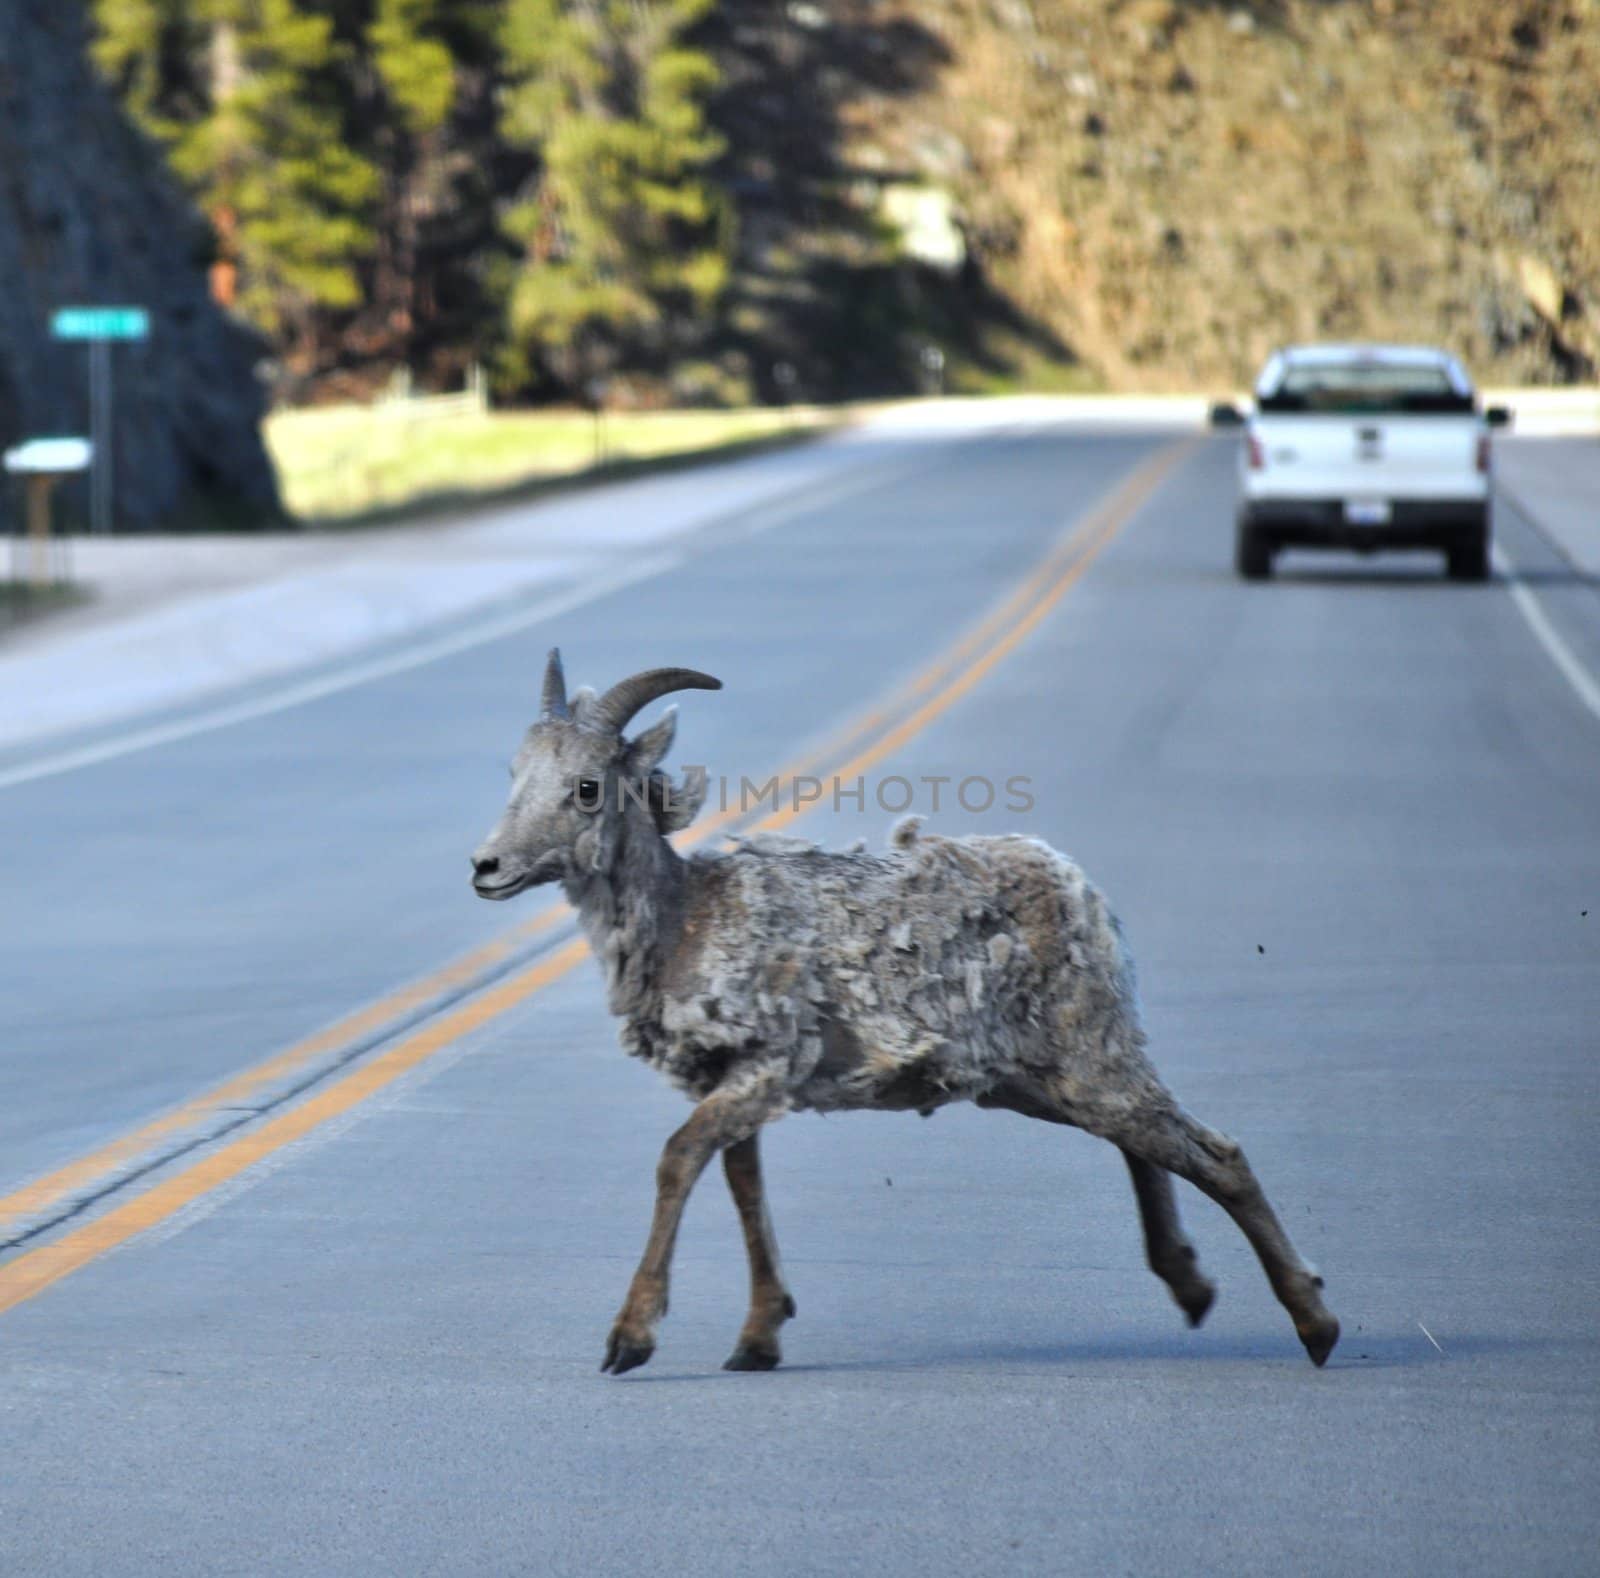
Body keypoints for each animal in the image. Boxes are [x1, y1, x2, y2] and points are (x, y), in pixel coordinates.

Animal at [470, 649, 1337, 1363]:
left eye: (586, 788)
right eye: (513, 773)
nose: (487, 867)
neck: (688, 920)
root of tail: (1081, 890)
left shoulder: (761, 1070)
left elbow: (680, 1161)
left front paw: (631, 1339)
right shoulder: (734, 1085)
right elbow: (744, 1186)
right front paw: (757, 1340)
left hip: (1090, 1061)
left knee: (1215, 1155)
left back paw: (1315, 1325)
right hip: (1037, 1083)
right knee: (1144, 1146)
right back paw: (1192, 1287)